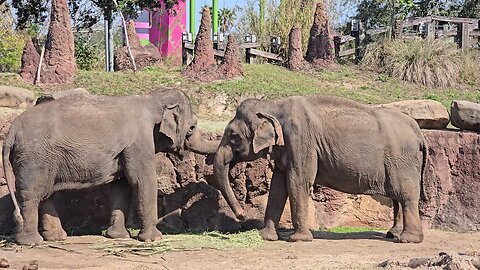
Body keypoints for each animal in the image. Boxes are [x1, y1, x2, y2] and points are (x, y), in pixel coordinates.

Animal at [1, 88, 218, 245]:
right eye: (191, 128)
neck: (151, 99)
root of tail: (11, 131)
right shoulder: (139, 140)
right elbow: (143, 180)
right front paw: (153, 239)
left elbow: (121, 185)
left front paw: (118, 237)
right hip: (34, 158)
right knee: (32, 195)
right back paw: (31, 242)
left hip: (44, 159)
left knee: (45, 193)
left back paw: (55, 238)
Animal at [214, 96, 428, 244]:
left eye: (233, 136)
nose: (241, 214)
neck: (273, 105)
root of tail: (417, 130)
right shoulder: (286, 147)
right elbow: (278, 185)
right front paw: (266, 237)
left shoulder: (301, 139)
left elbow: (297, 180)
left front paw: (298, 239)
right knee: (397, 196)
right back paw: (393, 234)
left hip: (402, 160)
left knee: (406, 195)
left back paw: (408, 239)